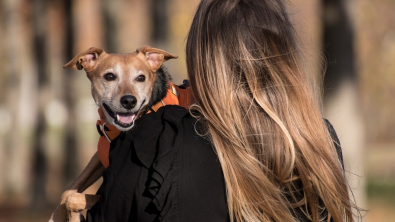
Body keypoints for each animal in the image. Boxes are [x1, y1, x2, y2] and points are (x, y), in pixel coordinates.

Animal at [49, 46, 192, 221]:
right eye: (109, 76)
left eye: (141, 78)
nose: (129, 101)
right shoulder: (99, 157)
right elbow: (68, 191)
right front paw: (56, 216)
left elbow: (74, 198)